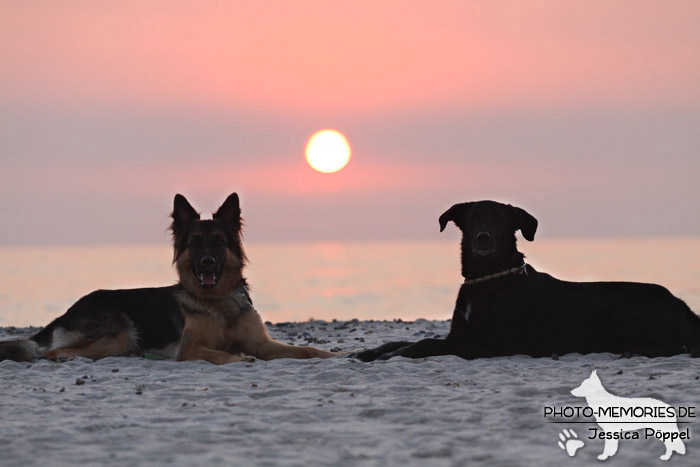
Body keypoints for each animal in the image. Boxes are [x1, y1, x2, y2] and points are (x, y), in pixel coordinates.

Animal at [0, 194, 336, 366]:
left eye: (218, 243)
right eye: (196, 244)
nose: (207, 263)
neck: (217, 302)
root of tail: (67, 312)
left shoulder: (263, 344)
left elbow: (305, 351)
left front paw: (335, 354)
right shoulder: (191, 349)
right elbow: (224, 353)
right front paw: (240, 358)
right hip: (120, 331)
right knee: (51, 352)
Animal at [358, 201, 700, 362]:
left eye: (501, 220)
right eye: (473, 219)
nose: (483, 238)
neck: (487, 279)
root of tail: (683, 307)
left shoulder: (485, 344)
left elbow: (423, 343)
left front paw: (392, 356)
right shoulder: (460, 335)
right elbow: (400, 341)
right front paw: (369, 352)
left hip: (614, 314)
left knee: (678, 346)